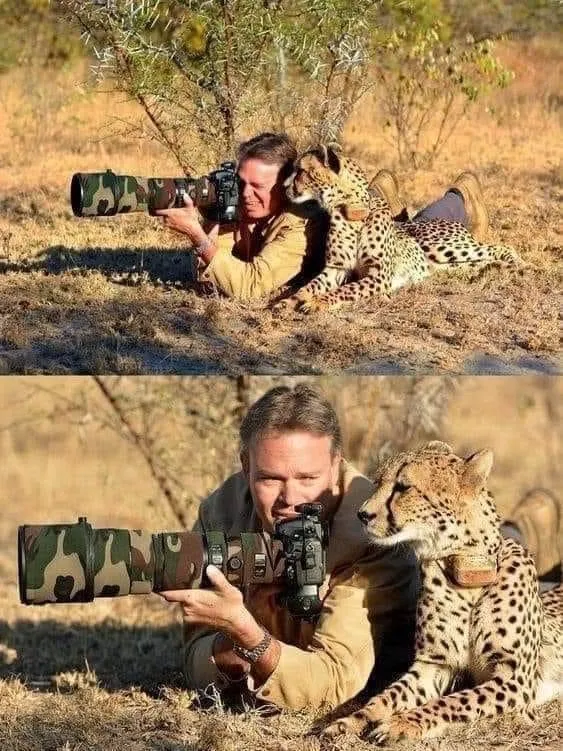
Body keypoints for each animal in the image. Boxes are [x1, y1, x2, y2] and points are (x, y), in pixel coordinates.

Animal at [274, 145, 522, 313]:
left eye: (301, 171)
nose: (284, 188)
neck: (349, 212)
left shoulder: (379, 276)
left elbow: (344, 290)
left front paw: (317, 302)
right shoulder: (336, 268)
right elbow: (308, 286)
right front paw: (288, 301)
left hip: (441, 247)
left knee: (498, 248)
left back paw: (518, 264)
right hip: (444, 263)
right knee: (476, 262)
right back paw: (492, 269)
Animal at [322, 441, 563, 744]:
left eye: (403, 487)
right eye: (377, 483)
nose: (362, 515)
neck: (465, 573)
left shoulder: (514, 680)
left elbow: (454, 702)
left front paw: (402, 723)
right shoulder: (433, 665)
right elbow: (386, 697)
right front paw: (350, 721)